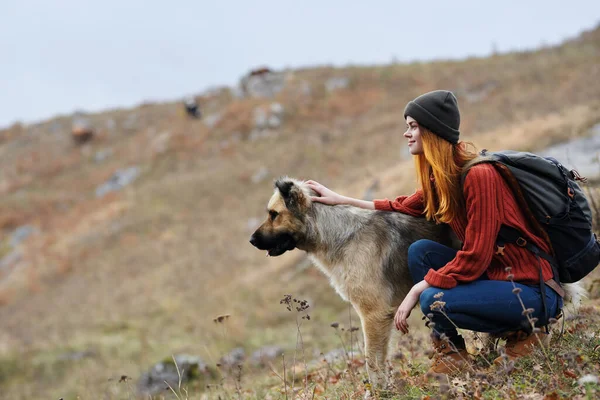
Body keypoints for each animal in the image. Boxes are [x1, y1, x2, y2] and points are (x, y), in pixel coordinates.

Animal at [251, 177, 458, 384]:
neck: (338, 236)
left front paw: (380, 389)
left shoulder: (374, 315)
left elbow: (372, 362)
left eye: (274, 214)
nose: (251, 240)